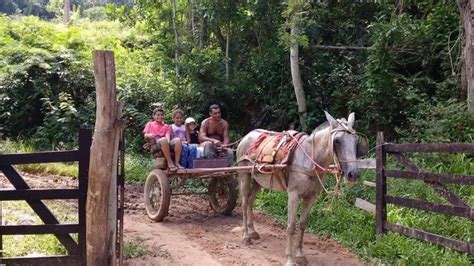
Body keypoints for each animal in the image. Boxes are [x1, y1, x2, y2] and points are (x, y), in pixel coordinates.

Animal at [236, 111, 362, 264]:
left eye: (356, 140)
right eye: (337, 141)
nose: (353, 174)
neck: (309, 160)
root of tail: (247, 135)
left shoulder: (311, 197)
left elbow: (302, 224)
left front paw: (300, 255)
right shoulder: (293, 194)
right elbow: (291, 226)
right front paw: (289, 259)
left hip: (258, 181)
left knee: (250, 201)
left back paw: (253, 231)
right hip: (244, 175)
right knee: (244, 203)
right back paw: (246, 236)